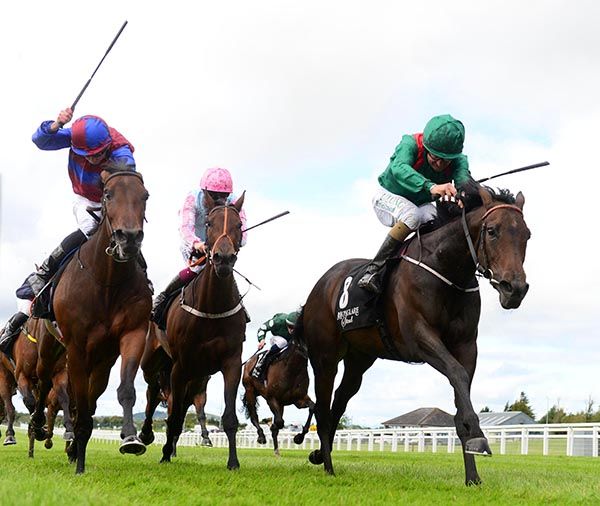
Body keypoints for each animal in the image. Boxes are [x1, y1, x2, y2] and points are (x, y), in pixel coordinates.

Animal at [30, 166, 152, 474]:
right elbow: (81, 407)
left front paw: (130, 438)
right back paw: (37, 426)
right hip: (50, 349)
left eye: (145, 195)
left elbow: (124, 390)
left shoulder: (132, 334)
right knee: (44, 382)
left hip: (99, 362)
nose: (128, 238)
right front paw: (80, 463)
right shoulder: (76, 347)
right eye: (107, 194)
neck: (106, 281)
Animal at [159, 194, 246, 470]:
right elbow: (174, 417)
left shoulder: (232, 362)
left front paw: (233, 461)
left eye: (239, 225)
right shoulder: (180, 366)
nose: (223, 258)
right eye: (208, 223)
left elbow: (229, 418)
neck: (211, 307)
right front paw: (165, 454)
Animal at [296, 180, 528, 484]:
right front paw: (478, 438)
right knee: (323, 409)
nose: (515, 289)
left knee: (339, 402)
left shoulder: (467, 345)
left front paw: (473, 476)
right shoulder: (420, 338)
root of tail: (318, 288)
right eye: (492, 231)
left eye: (527, 235)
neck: (446, 271)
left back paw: (319, 456)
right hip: (325, 358)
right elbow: (456, 373)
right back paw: (329, 468)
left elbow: (461, 388)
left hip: (359, 359)